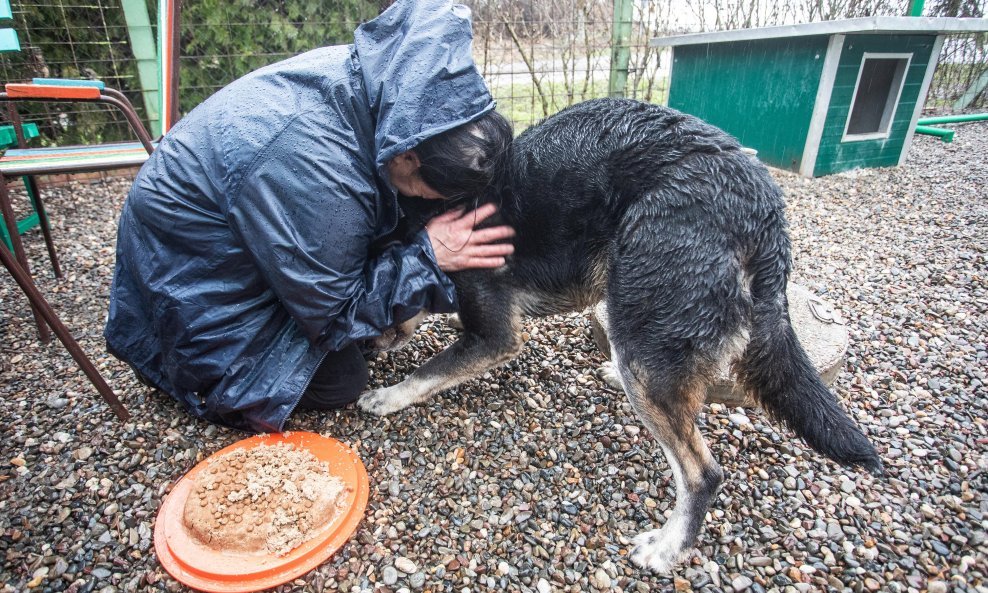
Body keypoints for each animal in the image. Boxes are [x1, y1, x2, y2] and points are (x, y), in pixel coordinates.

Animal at [358, 99, 884, 572]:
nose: (364, 349)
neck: (425, 230)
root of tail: (762, 208)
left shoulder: (494, 336)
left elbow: (429, 371)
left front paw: (386, 395)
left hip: (642, 328)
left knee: (704, 473)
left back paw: (669, 548)